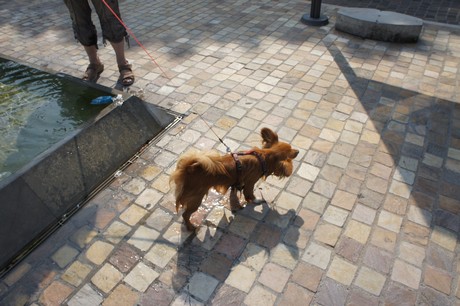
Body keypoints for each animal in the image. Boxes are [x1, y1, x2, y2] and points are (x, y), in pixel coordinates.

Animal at [171, 128, 300, 231]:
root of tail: (188, 168)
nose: (298, 151)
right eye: (292, 152)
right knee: (185, 215)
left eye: (292, 147)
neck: (263, 157)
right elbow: (250, 194)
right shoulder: (250, 183)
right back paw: (190, 227)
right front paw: (255, 200)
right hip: (196, 199)